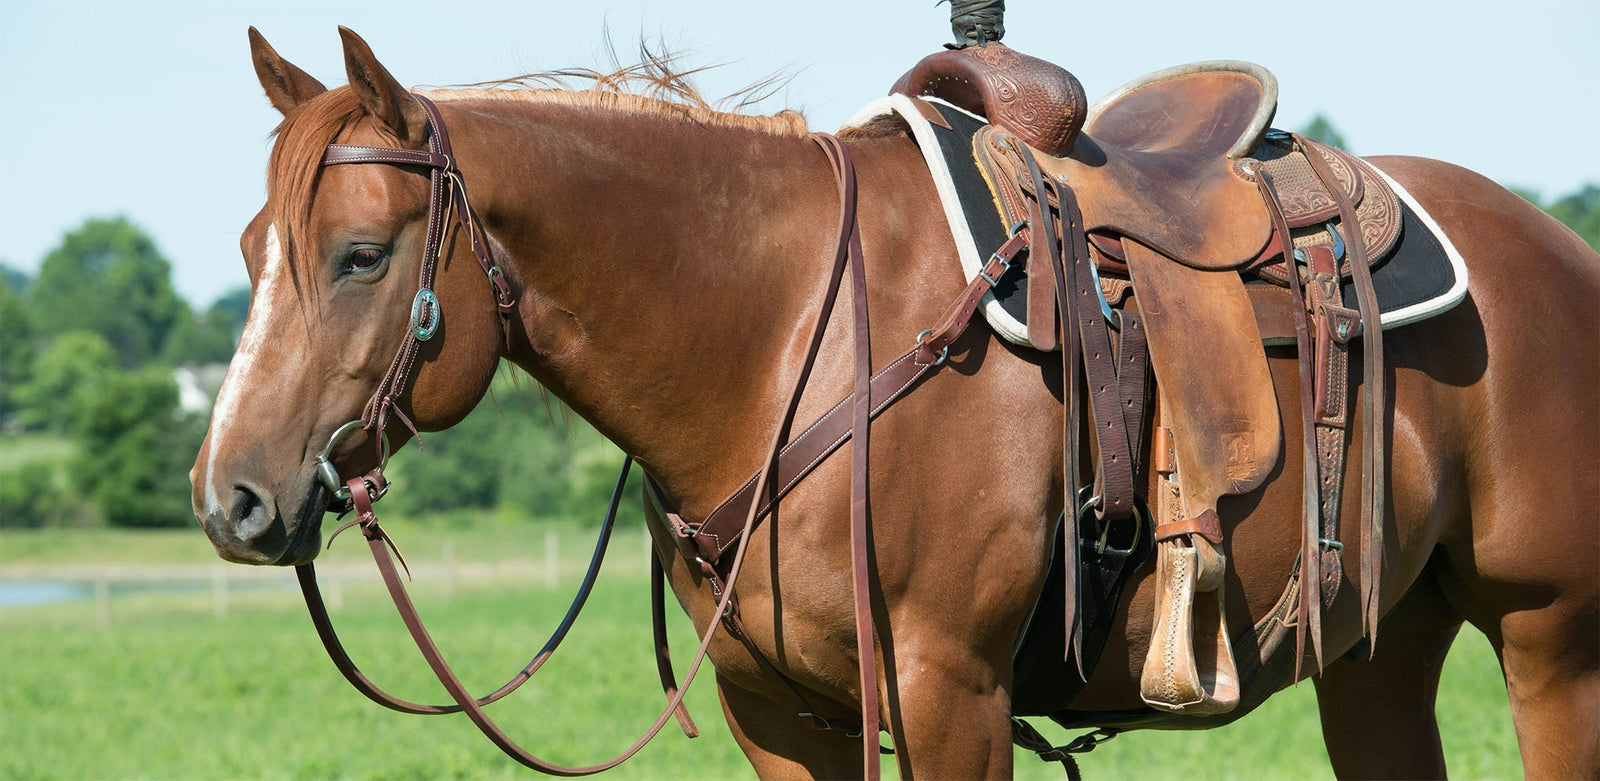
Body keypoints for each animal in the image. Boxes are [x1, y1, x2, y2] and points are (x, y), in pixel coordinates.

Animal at [191, 27, 1599, 778]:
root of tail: (1558, 251)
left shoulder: (946, 692)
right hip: (1378, 646)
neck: (773, 341)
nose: (230, 500)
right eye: (253, 246)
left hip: (1547, 640)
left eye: (360, 255)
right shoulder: (778, 712)